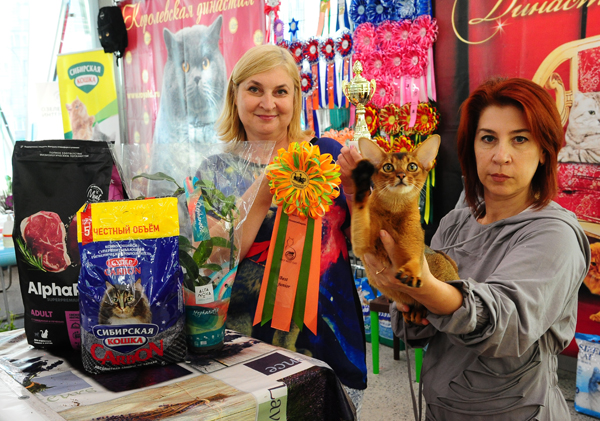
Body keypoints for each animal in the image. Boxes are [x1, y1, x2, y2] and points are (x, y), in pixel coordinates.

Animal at [351, 135, 459, 324]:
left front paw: (411, 272)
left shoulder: (414, 234)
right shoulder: (361, 245)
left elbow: (414, 255)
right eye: (388, 167)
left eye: (412, 166)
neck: (394, 208)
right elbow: (360, 217)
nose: (401, 175)